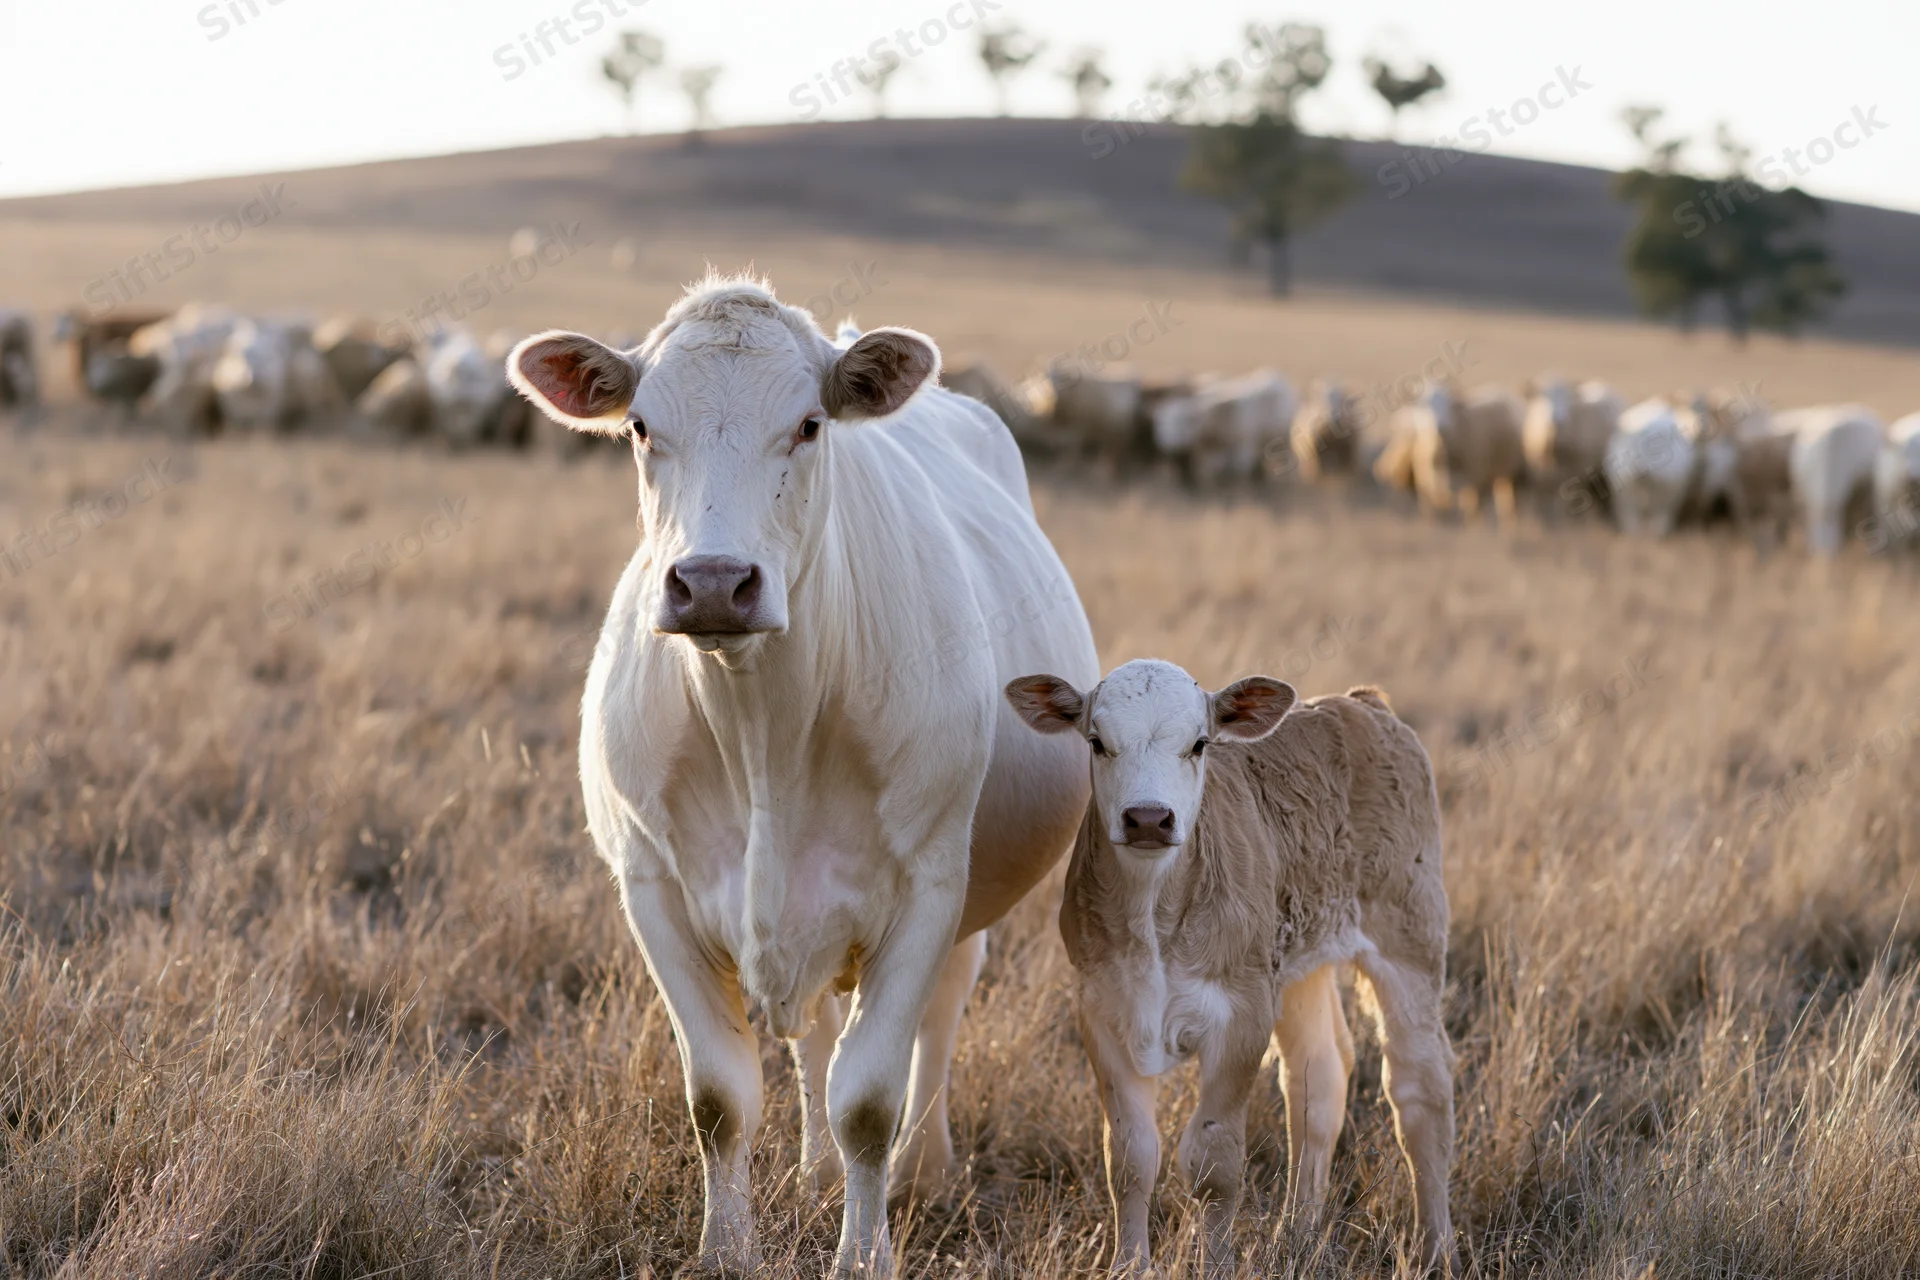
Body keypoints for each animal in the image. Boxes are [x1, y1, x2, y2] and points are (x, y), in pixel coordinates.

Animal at [504, 276, 1099, 1276]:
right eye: (640, 426)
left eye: (811, 424)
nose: (712, 581)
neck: (763, 734)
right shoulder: (652, 888)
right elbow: (720, 1097)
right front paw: (725, 1250)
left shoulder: (928, 888)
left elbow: (869, 1098)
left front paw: (865, 1254)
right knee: (816, 1035)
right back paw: (817, 1173)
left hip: (963, 899)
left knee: (936, 1020)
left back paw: (921, 1169)